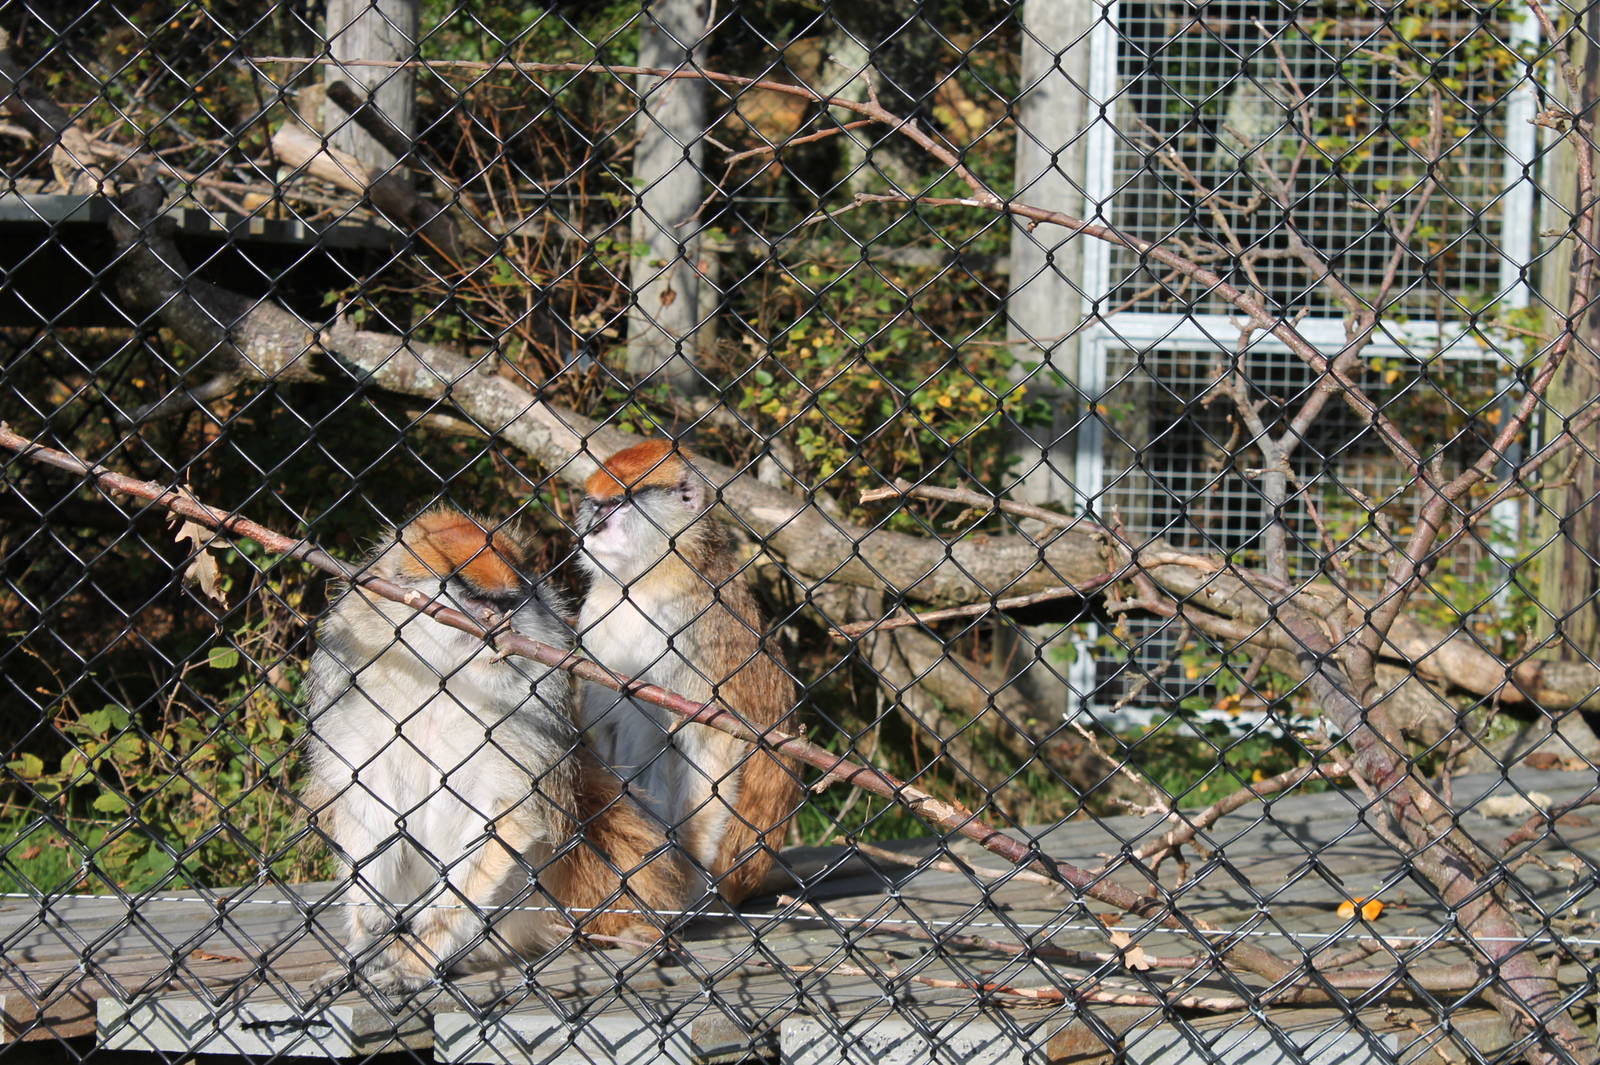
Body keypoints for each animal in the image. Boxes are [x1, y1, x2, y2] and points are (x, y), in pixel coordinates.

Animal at [304, 508, 685, 995]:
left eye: (508, 605)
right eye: (473, 600)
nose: (498, 625)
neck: (439, 675)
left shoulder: (529, 701)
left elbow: (509, 818)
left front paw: (413, 964)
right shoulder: (350, 681)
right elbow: (368, 803)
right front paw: (365, 938)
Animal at [574, 440, 800, 905]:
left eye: (619, 504)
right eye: (595, 504)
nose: (594, 527)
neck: (650, 577)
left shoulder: (692, 630)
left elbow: (711, 742)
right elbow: (606, 727)